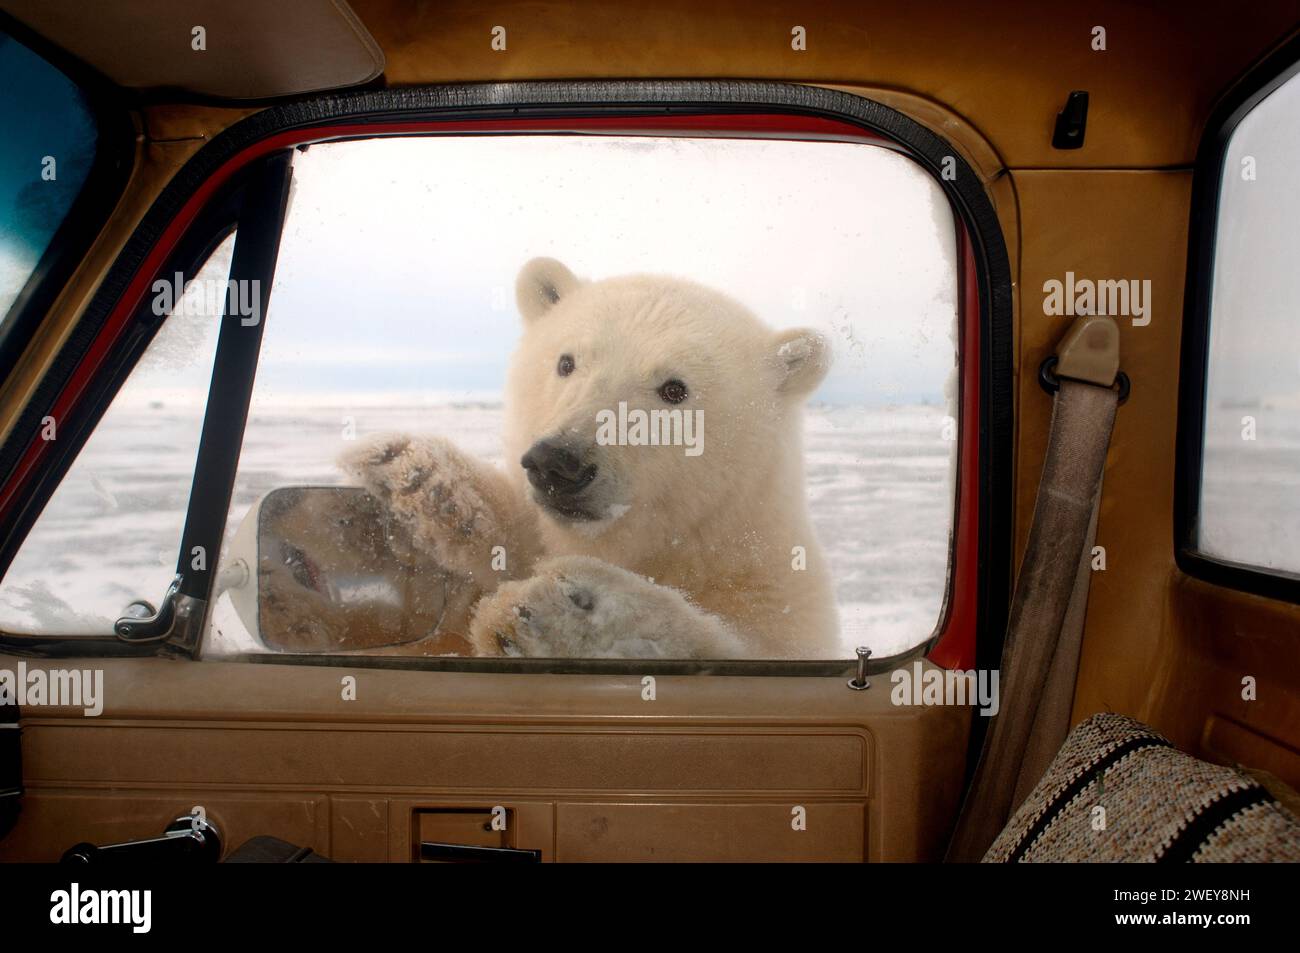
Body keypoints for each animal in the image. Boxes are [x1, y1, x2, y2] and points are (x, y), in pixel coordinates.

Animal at [340, 256, 837, 657]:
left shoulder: (769, 581)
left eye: (675, 389)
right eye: (566, 362)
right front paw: (421, 478)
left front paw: (563, 613)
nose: (558, 464)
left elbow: (754, 645)